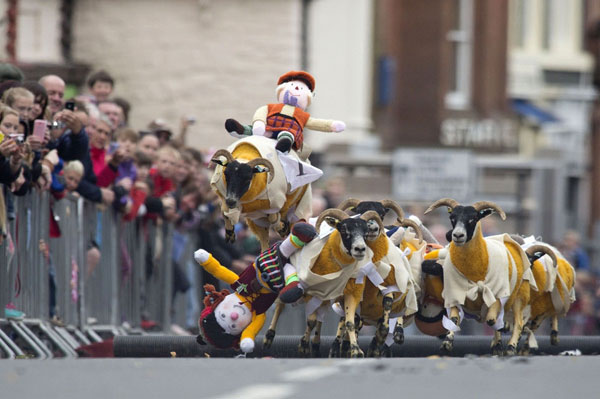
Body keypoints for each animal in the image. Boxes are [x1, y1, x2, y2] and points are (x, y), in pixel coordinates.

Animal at [422, 198, 540, 358]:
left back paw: (510, 347)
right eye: (452, 218)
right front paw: (447, 343)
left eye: (473, 219)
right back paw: (498, 345)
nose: (457, 235)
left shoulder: (497, 295)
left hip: (520, 296)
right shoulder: (454, 294)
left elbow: (492, 319)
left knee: (518, 322)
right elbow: (454, 319)